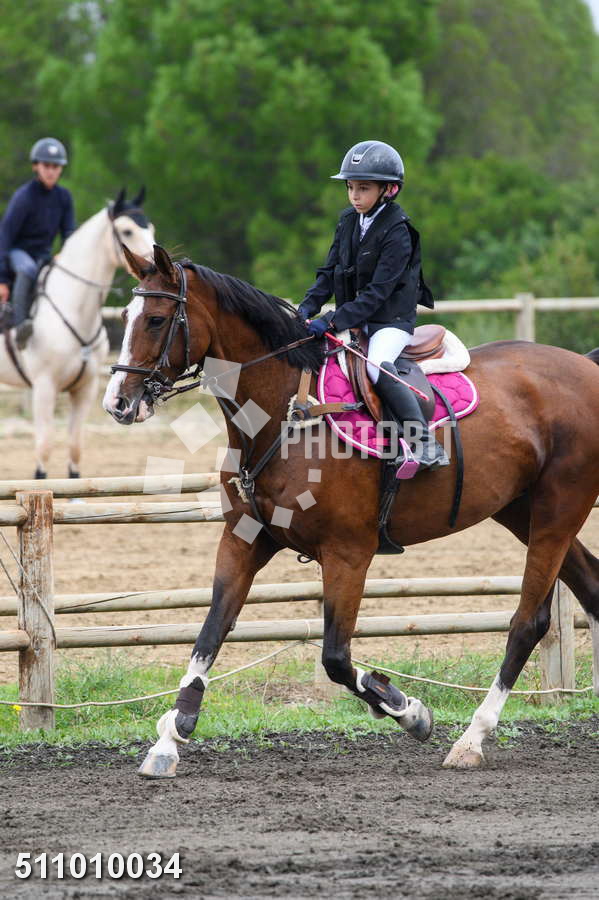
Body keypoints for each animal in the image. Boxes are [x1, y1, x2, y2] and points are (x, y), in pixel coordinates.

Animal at [0, 188, 155, 478]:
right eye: (127, 231)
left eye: (150, 227)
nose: (155, 265)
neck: (74, 308)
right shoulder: (44, 387)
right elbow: (45, 446)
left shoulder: (85, 389)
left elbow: (75, 448)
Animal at [104, 243, 599, 778]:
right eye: (127, 318)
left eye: (156, 320)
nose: (117, 404)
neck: (283, 415)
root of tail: (586, 366)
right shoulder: (245, 539)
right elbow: (210, 632)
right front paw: (170, 738)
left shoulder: (348, 554)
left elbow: (336, 658)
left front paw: (409, 711)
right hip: (523, 512)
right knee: (587, 590)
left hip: (557, 510)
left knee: (528, 622)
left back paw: (471, 739)